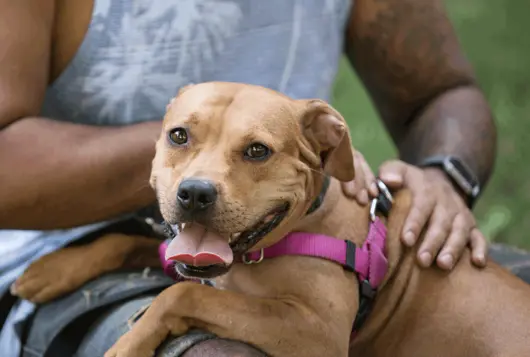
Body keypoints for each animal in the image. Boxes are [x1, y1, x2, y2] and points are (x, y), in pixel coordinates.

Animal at [106, 81, 528, 356]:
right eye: (179, 136)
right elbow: (123, 242)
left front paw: (127, 345)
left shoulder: (316, 330)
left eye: (258, 150)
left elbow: (184, 293)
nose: (195, 193)